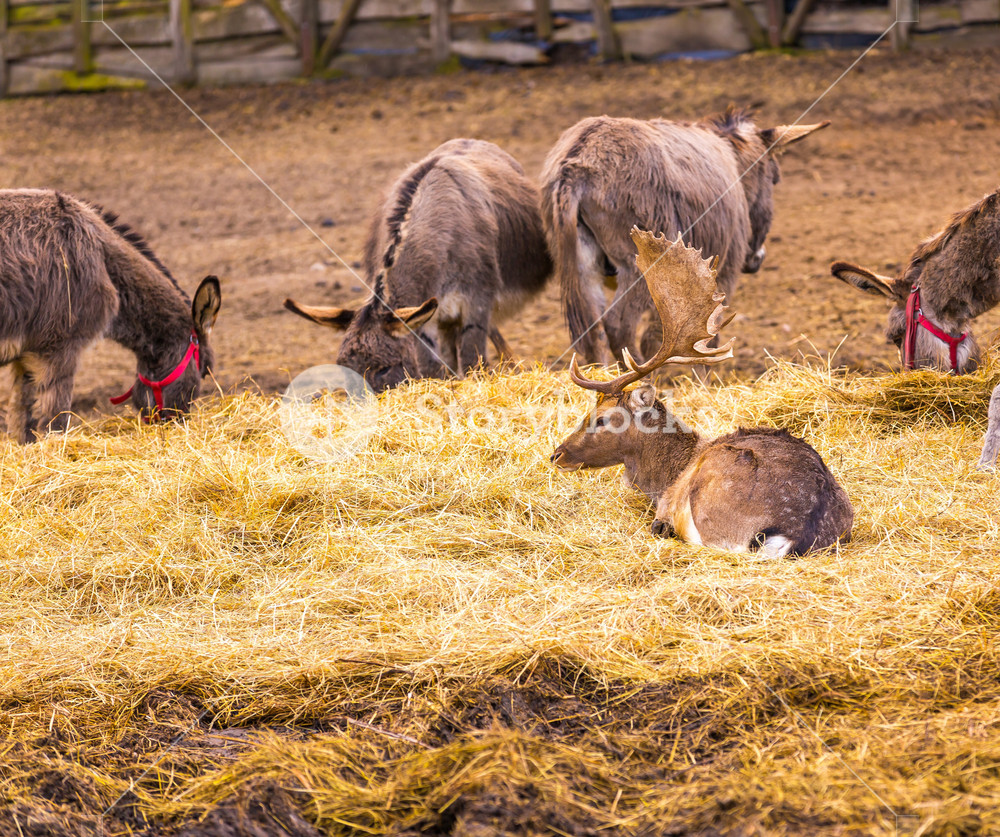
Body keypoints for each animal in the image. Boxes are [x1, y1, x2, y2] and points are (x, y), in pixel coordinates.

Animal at [0, 187, 221, 440]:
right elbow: (55, 424)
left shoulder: (26, 355)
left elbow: (21, 423)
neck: (103, 258)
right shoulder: (60, 351)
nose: (177, 424)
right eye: (205, 372)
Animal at [284, 140, 556, 392]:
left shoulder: (476, 303)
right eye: (345, 370)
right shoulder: (426, 319)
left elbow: (473, 360)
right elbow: (432, 368)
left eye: (384, 369)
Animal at [540, 106, 828, 364]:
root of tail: (578, 162)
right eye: (774, 178)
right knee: (619, 326)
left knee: (593, 333)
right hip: (637, 268)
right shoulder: (720, 273)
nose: (757, 259)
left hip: (583, 265)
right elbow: (703, 336)